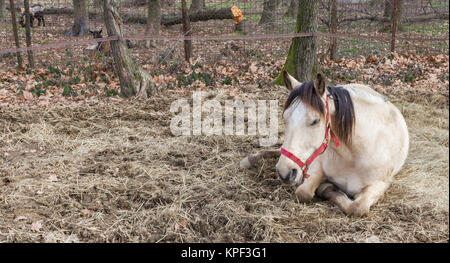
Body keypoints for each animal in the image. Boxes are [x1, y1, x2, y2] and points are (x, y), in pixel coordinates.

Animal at [241, 71, 410, 218]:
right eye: (285, 117)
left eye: (315, 121)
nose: (284, 173)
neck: (354, 155)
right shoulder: (316, 165)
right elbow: (303, 192)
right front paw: (326, 187)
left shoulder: (381, 184)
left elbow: (357, 207)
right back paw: (249, 160)